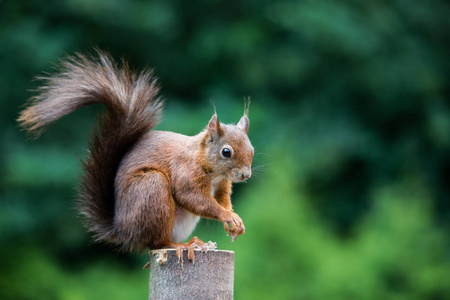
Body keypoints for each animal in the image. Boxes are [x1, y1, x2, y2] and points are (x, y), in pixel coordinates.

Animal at [17, 50, 255, 262]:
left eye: (251, 150)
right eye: (226, 152)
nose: (246, 175)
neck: (210, 168)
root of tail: (123, 230)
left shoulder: (222, 185)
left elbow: (222, 200)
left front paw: (234, 221)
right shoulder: (186, 171)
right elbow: (193, 198)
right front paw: (228, 216)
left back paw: (195, 242)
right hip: (151, 190)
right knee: (157, 242)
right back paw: (183, 245)